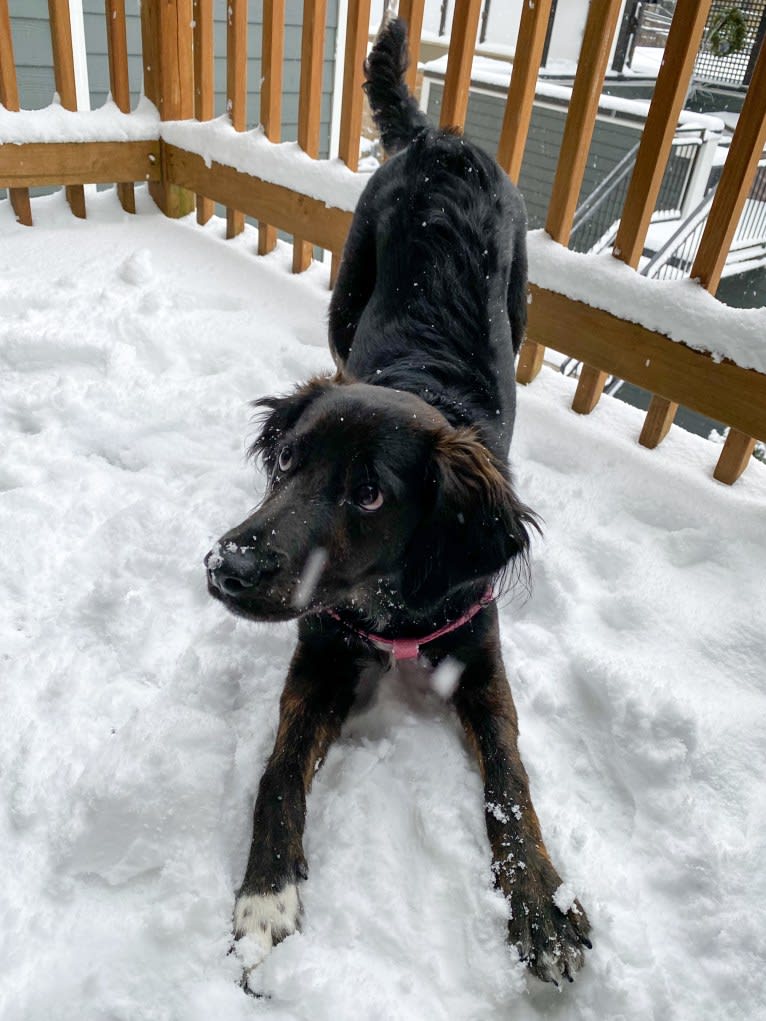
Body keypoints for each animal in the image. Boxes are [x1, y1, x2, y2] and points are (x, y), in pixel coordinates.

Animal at [205, 15, 592, 984]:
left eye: (371, 493)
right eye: (285, 464)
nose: (227, 566)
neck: (392, 603)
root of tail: (437, 138)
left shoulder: (482, 661)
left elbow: (511, 783)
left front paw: (539, 900)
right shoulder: (318, 656)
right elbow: (277, 771)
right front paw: (266, 895)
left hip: (517, 300)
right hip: (348, 290)